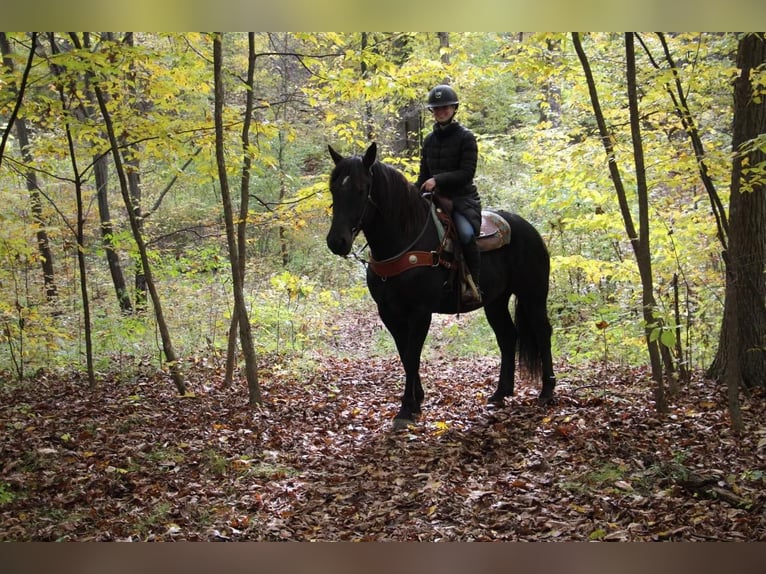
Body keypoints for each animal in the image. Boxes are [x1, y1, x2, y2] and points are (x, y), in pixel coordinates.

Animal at [326, 143, 560, 430]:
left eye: (361, 188)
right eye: (333, 188)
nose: (337, 241)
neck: (405, 241)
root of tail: (529, 229)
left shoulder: (420, 312)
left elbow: (413, 354)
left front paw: (406, 409)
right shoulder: (389, 313)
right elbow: (404, 354)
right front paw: (417, 401)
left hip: (532, 295)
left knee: (542, 333)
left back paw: (547, 391)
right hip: (495, 301)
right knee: (507, 337)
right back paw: (500, 393)